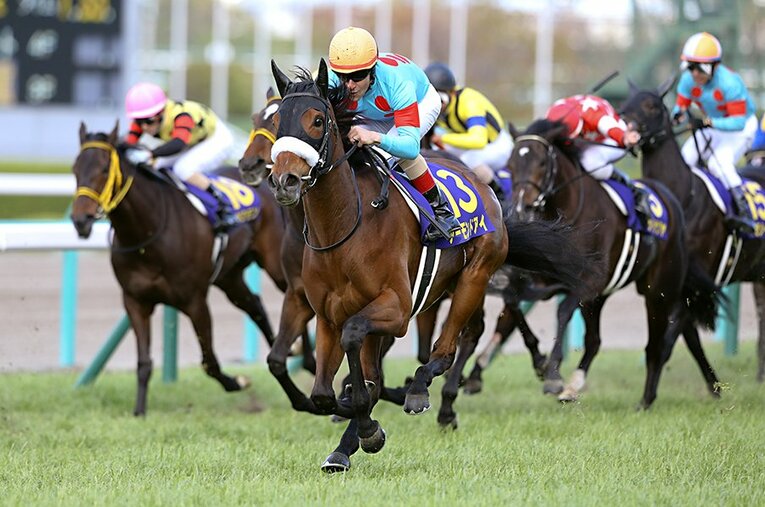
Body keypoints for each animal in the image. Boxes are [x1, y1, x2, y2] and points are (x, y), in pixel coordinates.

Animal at [71, 122, 288, 416]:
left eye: (105, 168)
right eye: (75, 168)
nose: (80, 220)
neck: (148, 233)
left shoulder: (195, 301)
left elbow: (210, 362)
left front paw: (238, 381)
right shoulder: (135, 301)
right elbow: (144, 362)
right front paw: (139, 412)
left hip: (276, 265)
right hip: (229, 276)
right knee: (255, 305)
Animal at [265, 59, 591, 472]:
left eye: (318, 120)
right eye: (278, 121)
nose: (284, 181)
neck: (345, 226)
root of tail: (486, 190)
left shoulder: (397, 309)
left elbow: (356, 353)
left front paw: (369, 422)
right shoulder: (325, 314)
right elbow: (326, 391)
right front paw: (358, 427)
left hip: (474, 277)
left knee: (449, 345)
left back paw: (421, 389)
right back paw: (350, 442)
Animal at [507, 118, 722, 408]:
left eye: (541, 162)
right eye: (510, 164)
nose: (521, 207)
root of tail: (672, 201)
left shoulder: (590, 281)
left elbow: (562, 310)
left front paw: (552, 374)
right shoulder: (544, 280)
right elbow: (513, 302)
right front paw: (541, 363)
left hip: (659, 290)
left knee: (657, 342)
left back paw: (646, 399)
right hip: (604, 298)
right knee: (598, 341)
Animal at [619, 79, 765, 382]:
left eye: (652, 105)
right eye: (626, 102)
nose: (624, 122)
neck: (683, 197)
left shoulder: (697, 281)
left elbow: (671, 338)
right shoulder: (683, 283)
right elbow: (690, 339)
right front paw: (714, 385)